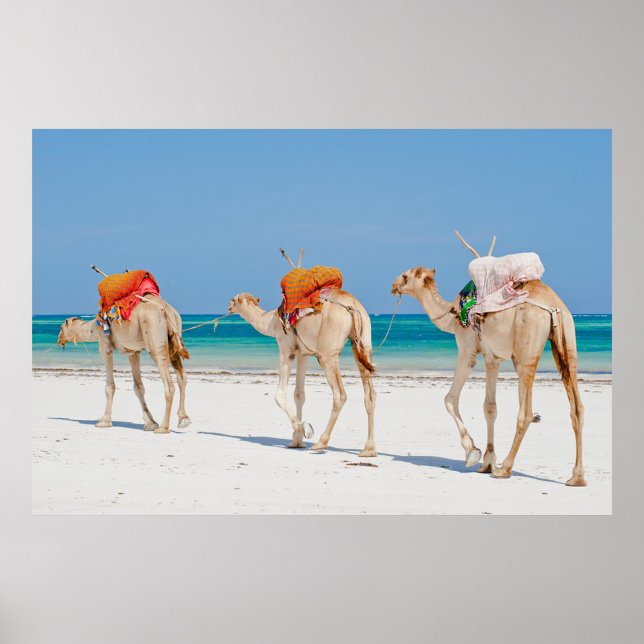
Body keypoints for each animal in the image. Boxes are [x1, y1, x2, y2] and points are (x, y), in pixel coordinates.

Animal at [57, 294, 191, 433]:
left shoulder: (105, 346)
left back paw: (163, 427)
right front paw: (150, 423)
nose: (59, 339)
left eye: (61, 328)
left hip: (154, 338)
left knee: (169, 384)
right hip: (173, 339)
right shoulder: (132, 352)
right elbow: (138, 387)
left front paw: (104, 421)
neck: (94, 327)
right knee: (181, 377)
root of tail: (166, 310)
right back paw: (183, 419)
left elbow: (110, 386)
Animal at [228, 291, 377, 456]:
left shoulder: (286, 349)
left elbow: (279, 395)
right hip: (363, 343)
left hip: (327, 354)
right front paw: (296, 441)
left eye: (234, 299)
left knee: (340, 394)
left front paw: (304, 429)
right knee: (370, 394)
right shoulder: (303, 354)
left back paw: (321, 442)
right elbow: (299, 395)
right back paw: (369, 449)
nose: (229, 307)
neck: (271, 321)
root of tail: (353, 306)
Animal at [391, 261, 586, 486]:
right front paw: (487, 462)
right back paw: (577, 477)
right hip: (568, 340)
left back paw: (505, 468)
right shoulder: (493, 359)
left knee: (526, 412)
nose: (393, 286)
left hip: (525, 353)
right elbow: (490, 408)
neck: (451, 314)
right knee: (577, 407)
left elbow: (450, 399)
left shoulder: (467, 351)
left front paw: (472, 453)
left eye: (405, 275)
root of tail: (554, 307)